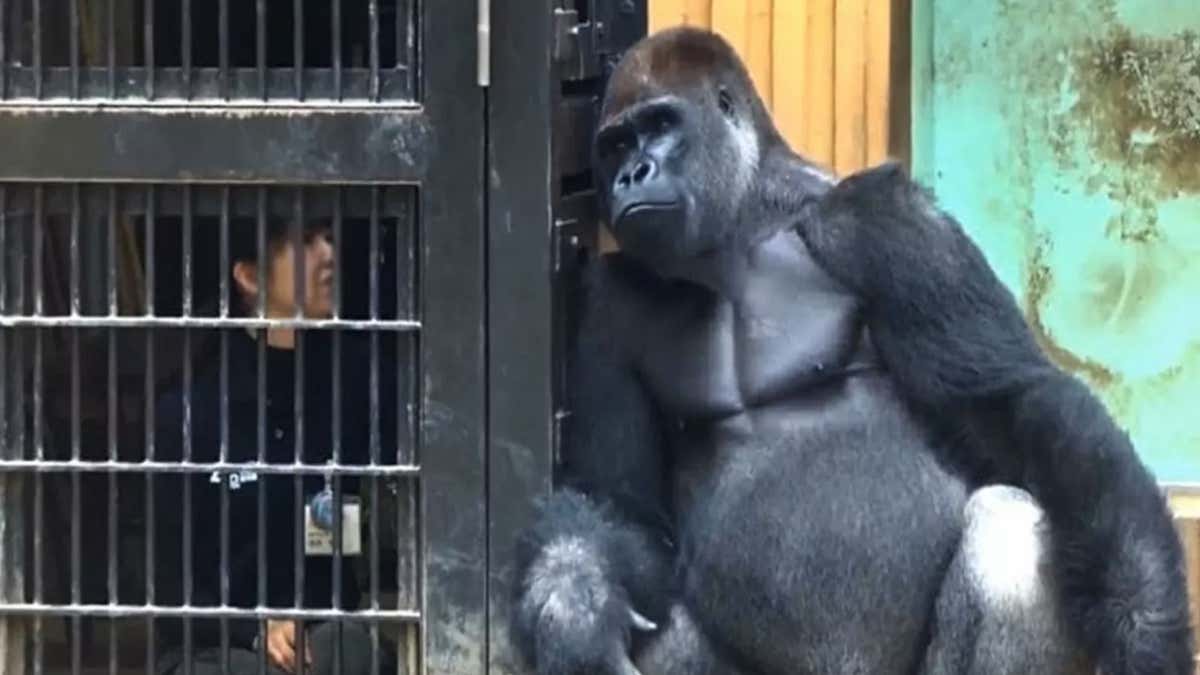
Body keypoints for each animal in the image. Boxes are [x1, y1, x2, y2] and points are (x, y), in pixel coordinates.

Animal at [511, 24, 1195, 672]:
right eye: (615, 146)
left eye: (660, 126)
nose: (632, 175)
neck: (746, 220)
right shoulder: (607, 303)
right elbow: (623, 506)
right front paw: (573, 599)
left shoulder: (888, 220)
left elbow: (1015, 400)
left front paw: (1145, 632)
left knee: (1011, 532)